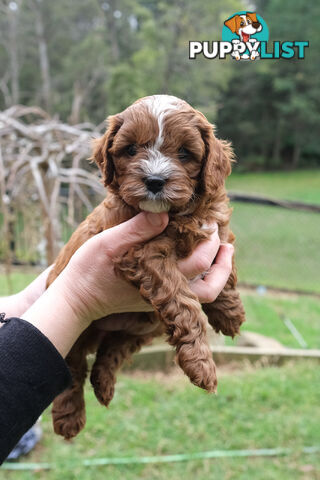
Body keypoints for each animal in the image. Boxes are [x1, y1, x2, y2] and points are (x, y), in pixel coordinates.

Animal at [47, 94, 246, 438]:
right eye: (130, 150)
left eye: (184, 152)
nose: (154, 181)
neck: (180, 212)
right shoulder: (143, 254)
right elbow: (184, 303)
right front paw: (202, 365)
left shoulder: (217, 226)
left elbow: (226, 263)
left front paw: (230, 313)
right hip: (80, 328)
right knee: (73, 366)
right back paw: (69, 417)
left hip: (145, 326)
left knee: (112, 349)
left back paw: (103, 385)